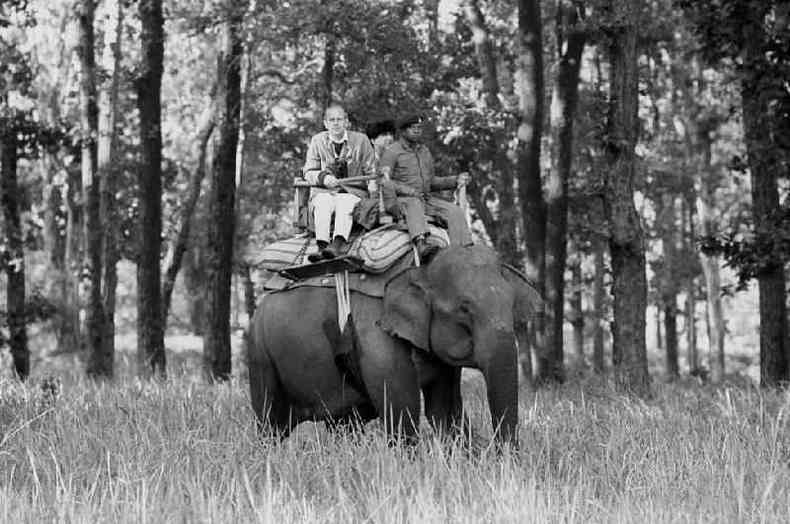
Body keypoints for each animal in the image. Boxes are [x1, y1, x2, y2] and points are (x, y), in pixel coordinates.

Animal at [249, 244, 544, 444]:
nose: (501, 455)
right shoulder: (376, 335)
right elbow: (402, 411)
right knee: (270, 423)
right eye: (464, 309)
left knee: (344, 425)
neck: (419, 267)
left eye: (512, 305)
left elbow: (443, 412)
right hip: (260, 355)